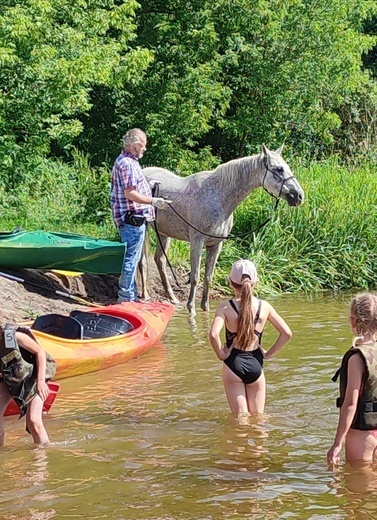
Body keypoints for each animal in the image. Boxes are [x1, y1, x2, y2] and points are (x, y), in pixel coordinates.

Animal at [140, 144, 302, 314]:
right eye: (279, 169)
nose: (299, 196)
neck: (217, 197)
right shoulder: (197, 241)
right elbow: (195, 276)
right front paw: (191, 309)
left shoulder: (216, 244)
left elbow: (208, 277)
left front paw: (205, 308)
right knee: (142, 261)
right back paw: (145, 296)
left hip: (164, 233)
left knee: (160, 260)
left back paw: (172, 298)